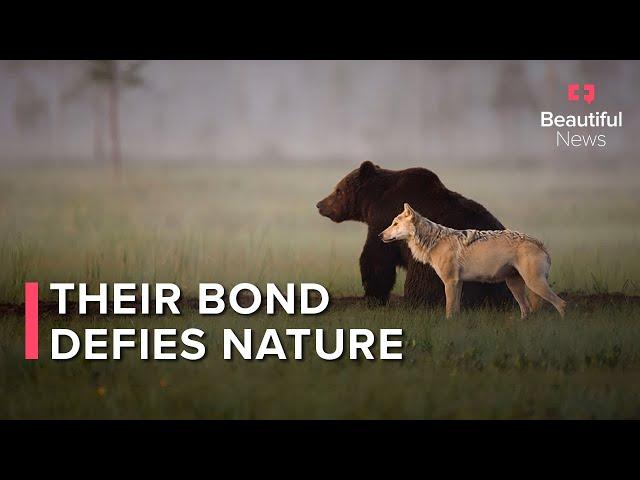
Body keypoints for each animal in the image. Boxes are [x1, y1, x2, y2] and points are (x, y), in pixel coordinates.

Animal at [318, 159, 512, 306]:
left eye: (338, 190)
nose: (320, 204)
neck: (373, 201)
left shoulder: (383, 220)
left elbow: (376, 258)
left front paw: (372, 295)